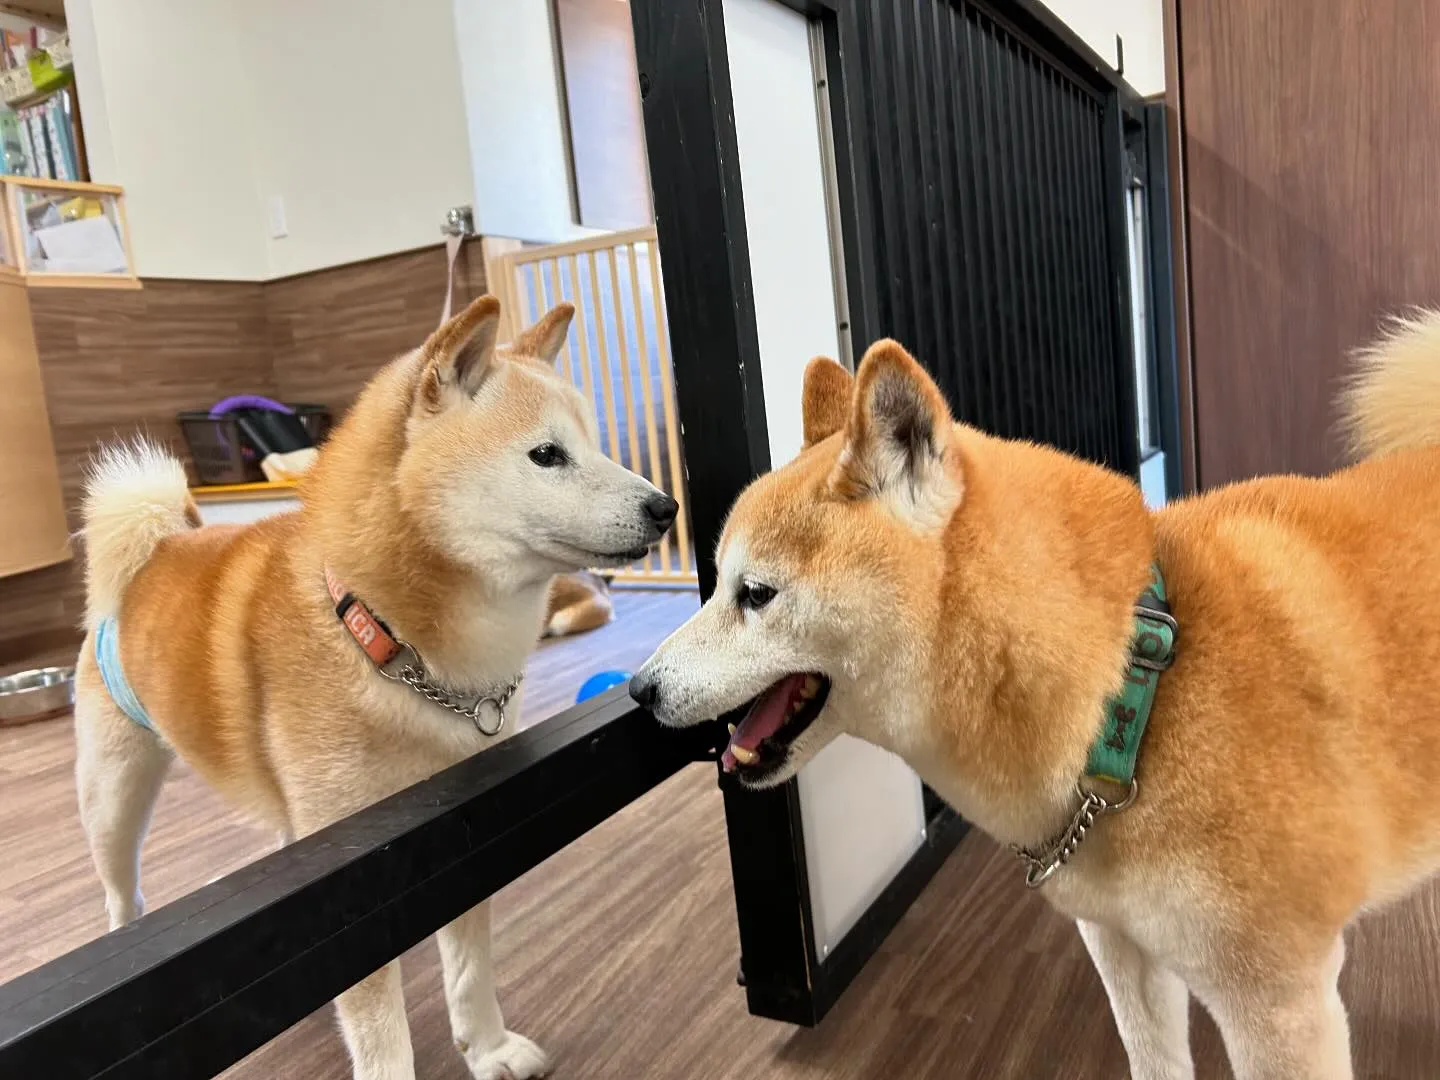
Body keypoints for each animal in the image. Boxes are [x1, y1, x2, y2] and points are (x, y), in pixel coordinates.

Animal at [68, 296, 673, 1080]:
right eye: (547, 456)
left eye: (597, 447)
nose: (666, 507)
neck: (385, 637)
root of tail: (157, 548)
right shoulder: (349, 887)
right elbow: (379, 1027)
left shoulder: (465, 824)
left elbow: (470, 968)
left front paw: (487, 1047)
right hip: (115, 795)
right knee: (122, 896)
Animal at [633, 315, 1440, 1080]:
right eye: (717, 584)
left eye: (756, 594)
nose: (641, 691)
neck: (1130, 692)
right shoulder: (1123, 949)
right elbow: (1154, 1060)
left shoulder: (1277, 1002)